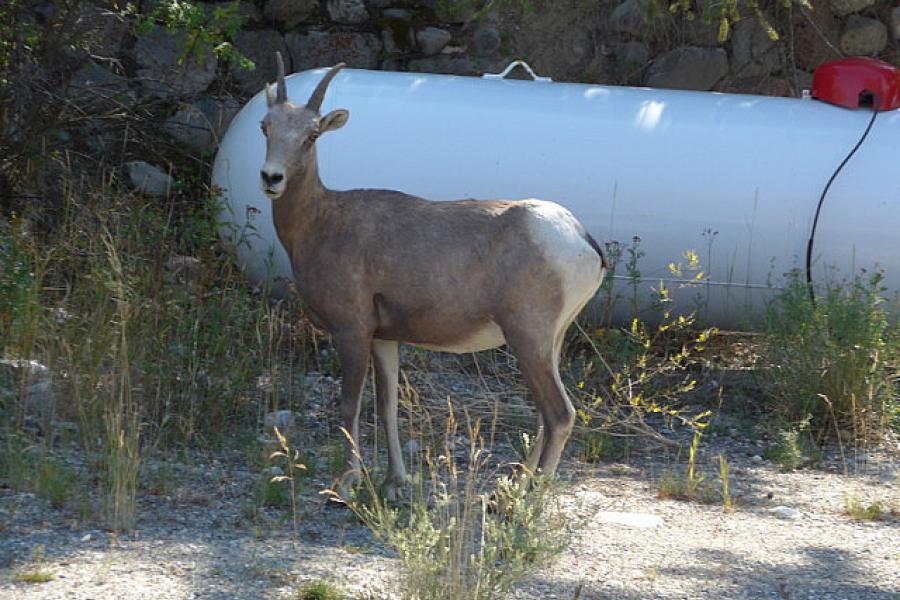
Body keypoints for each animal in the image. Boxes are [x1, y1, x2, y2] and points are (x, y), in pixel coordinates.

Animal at [260, 54, 608, 500]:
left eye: (312, 134)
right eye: (265, 126)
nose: (271, 178)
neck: (322, 222)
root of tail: (580, 237)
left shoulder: (351, 330)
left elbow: (349, 405)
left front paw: (346, 484)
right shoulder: (385, 338)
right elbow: (387, 406)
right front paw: (394, 483)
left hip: (527, 337)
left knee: (559, 414)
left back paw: (519, 501)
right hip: (551, 342)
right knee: (546, 416)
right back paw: (510, 487)